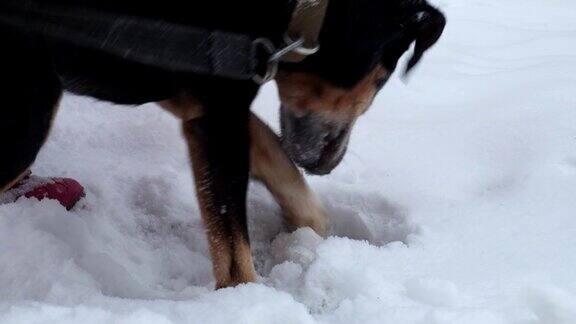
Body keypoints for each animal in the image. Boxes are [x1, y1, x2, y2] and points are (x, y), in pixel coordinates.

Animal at [0, 0, 446, 288]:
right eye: (381, 75)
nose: (328, 163)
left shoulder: (207, 96)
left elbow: (275, 156)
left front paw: (308, 230)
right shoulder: (219, 109)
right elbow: (232, 243)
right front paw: (246, 299)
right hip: (30, 111)